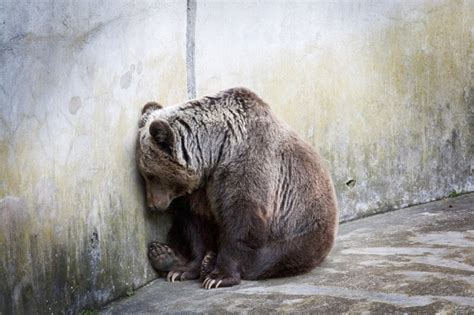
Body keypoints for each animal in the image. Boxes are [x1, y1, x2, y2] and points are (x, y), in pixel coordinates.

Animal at [135, 87, 338, 290]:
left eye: (151, 175)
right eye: (144, 174)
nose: (153, 205)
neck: (216, 153)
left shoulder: (246, 169)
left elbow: (240, 223)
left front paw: (218, 276)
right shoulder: (200, 190)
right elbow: (195, 225)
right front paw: (183, 270)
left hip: (299, 229)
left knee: (270, 258)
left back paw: (207, 263)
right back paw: (164, 255)